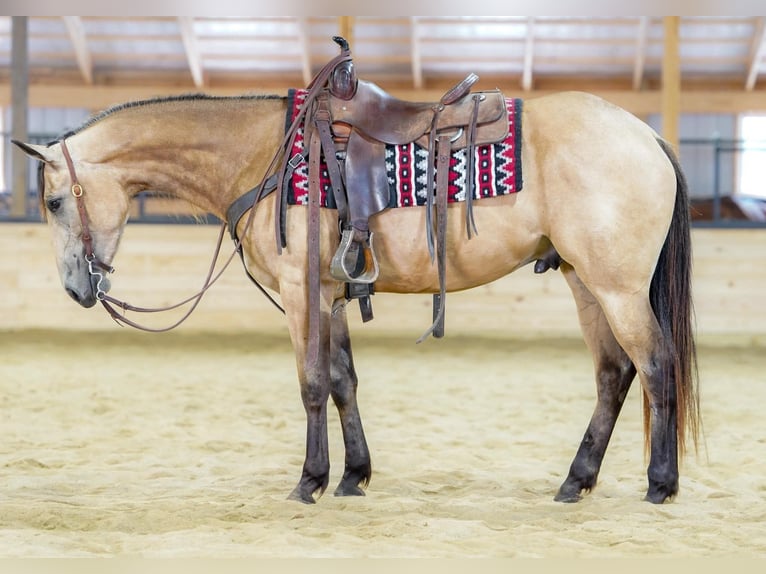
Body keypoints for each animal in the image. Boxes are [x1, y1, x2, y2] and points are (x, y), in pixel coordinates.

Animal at [13, 84, 699, 505]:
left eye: (54, 202)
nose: (77, 288)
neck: (262, 157)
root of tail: (646, 137)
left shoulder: (302, 294)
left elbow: (313, 384)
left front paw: (309, 481)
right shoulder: (332, 297)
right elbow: (345, 381)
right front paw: (353, 477)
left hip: (616, 287)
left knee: (656, 365)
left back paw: (660, 484)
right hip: (584, 281)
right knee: (614, 374)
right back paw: (574, 483)